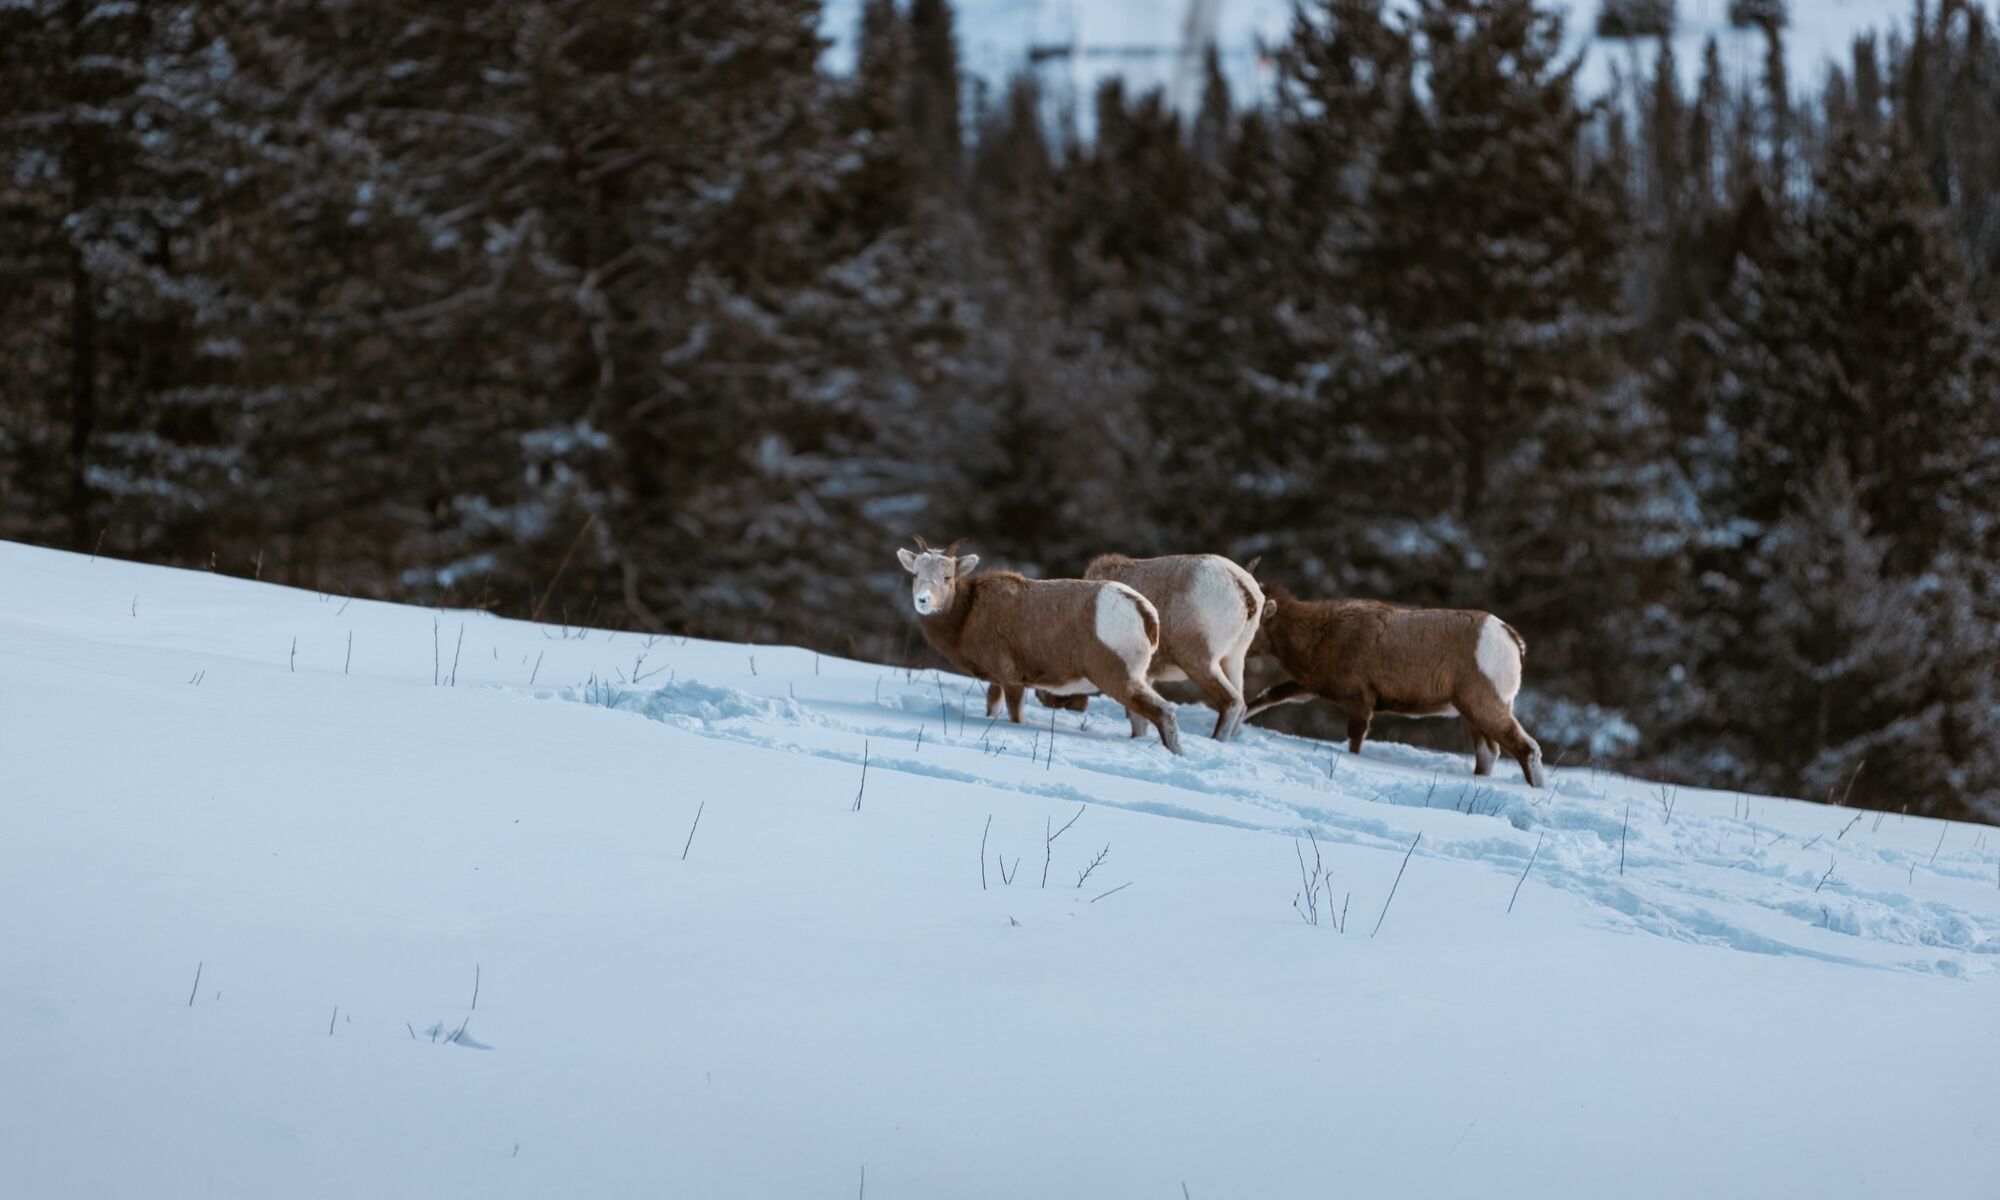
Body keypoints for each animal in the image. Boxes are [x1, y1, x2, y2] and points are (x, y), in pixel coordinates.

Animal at [897, 536, 1182, 754]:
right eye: (915, 574)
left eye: (947, 577)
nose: (923, 600)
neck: (966, 617)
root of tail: (1146, 614)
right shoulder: (997, 682)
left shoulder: (1013, 681)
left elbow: (1016, 717)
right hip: (1137, 679)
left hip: (1119, 679)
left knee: (1164, 711)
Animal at [1031, 553, 1270, 741]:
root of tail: (1243, 589)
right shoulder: (1146, 676)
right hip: (1233, 660)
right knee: (1242, 704)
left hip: (1201, 664)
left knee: (1231, 701)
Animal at [1244, 583, 1546, 786]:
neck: (1323, 633)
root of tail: (1510, 638)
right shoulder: (1309, 688)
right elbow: (1269, 696)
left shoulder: (1359, 702)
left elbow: (1355, 741)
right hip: (1473, 714)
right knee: (1488, 754)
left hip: (1485, 708)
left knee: (1526, 749)